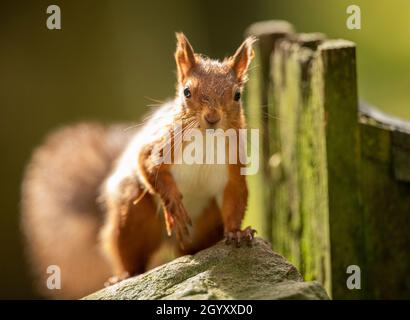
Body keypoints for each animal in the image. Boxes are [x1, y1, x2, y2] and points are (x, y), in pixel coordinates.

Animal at [20, 33, 256, 298]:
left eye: (237, 95)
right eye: (187, 92)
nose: (212, 118)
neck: (205, 139)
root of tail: (171, 241)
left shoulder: (234, 168)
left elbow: (235, 198)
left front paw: (237, 232)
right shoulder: (159, 145)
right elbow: (148, 167)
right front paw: (173, 203)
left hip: (206, 219)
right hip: (134, 215)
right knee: (129, 253)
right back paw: (123, 275)